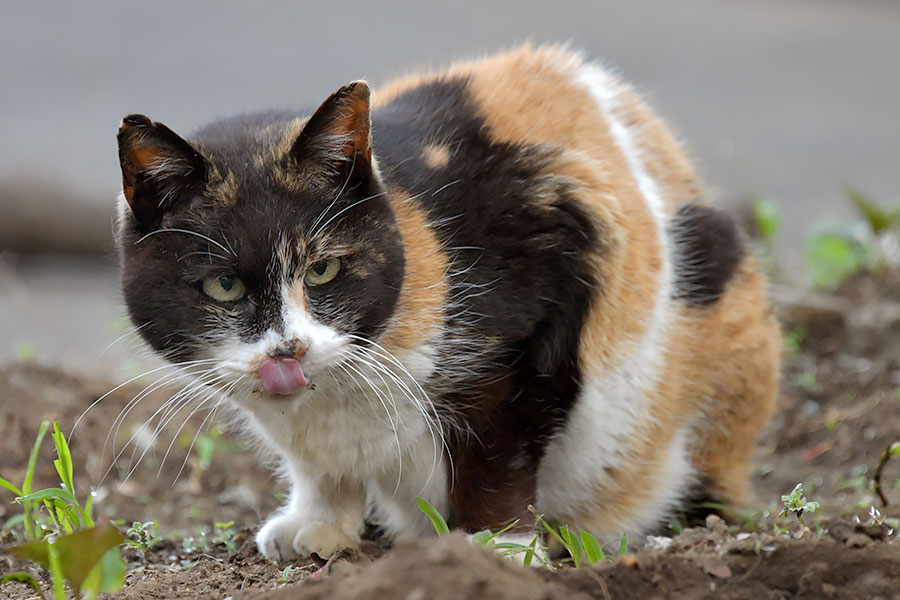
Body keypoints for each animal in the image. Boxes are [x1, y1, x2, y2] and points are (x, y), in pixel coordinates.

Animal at [116, 44, 780, 560]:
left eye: (324, 269)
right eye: (224, 286)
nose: (290, 349)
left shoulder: (537, 301)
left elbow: (500, 452)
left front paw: (497, 549)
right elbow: (318, 468)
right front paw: (317, 526)